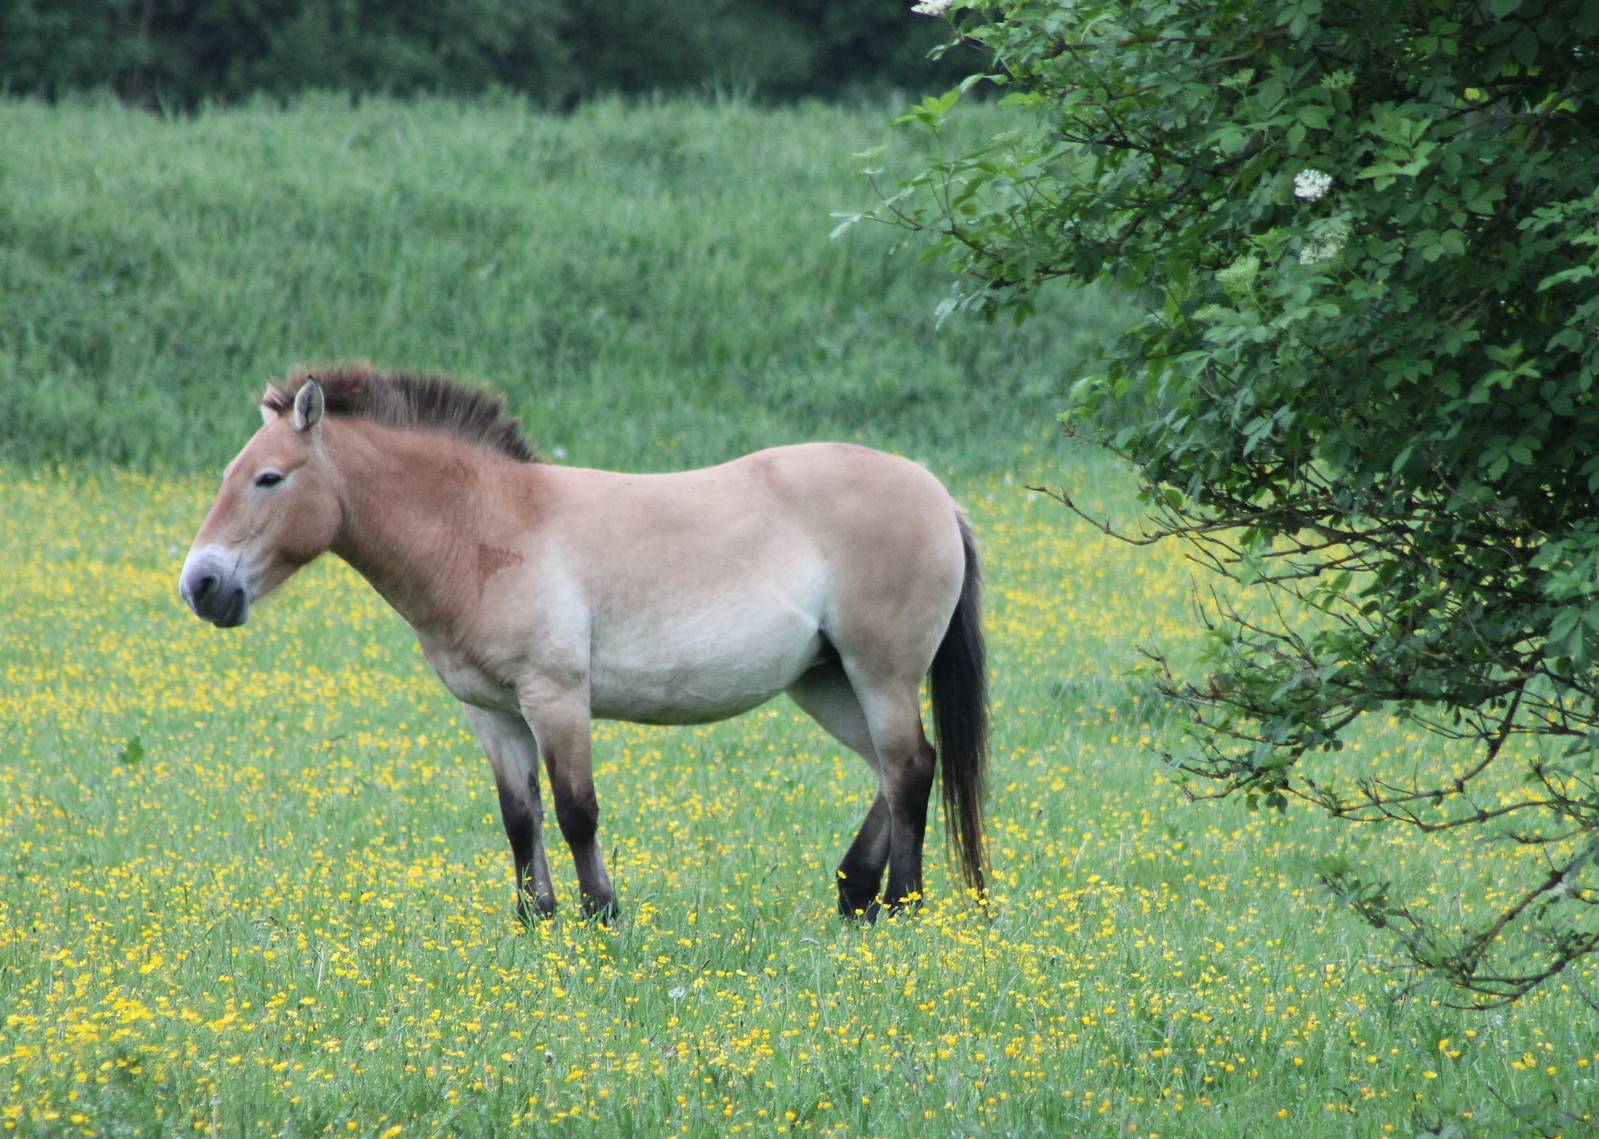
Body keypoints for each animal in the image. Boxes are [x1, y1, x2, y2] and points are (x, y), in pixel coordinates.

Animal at [178, 365, 988, 922]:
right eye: (229, 475)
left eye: (269, 478)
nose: (201, 585)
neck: (485, 529)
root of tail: (937, 495)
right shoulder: (492, 713)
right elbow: (520, 816)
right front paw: (535, 918)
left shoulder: (556, 697)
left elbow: (575, 810)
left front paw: (602, 914)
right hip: (825, 680)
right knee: (890, 770)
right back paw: (857, 896)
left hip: (880, 672)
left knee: (909, 770)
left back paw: (903, 904)